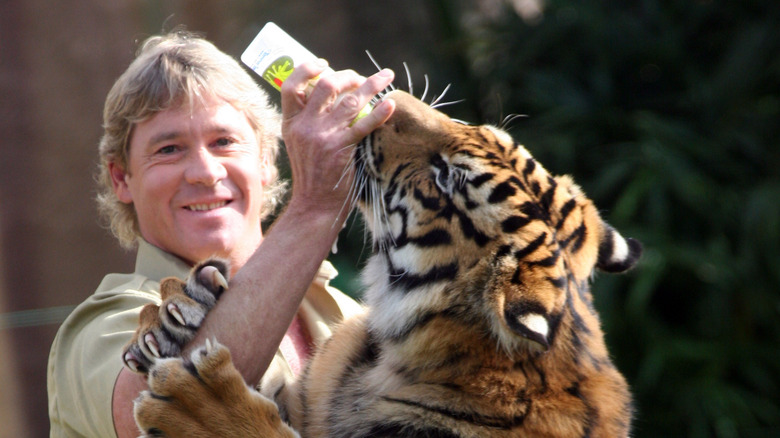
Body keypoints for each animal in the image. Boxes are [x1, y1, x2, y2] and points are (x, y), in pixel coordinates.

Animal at [125, 88, 644, 434]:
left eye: (447, 176)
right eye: (482, 130)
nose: (391, 96)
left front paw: (198, 404)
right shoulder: (307, 397)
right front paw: (174, 311)